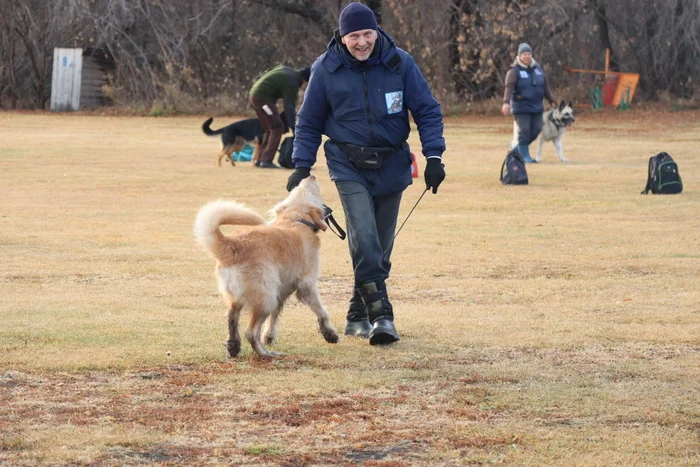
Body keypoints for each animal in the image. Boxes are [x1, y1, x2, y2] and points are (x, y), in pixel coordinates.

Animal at [193, 177, 338, 360]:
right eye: (310, 191)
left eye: (296, 188)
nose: (310, 177)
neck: (295, 219)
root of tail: (234, 246)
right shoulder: (307, 285)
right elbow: (322, 311)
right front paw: (330, 334)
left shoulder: (280, 290)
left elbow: (275, 315)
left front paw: (269, 336)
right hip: (265, 298)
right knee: (250, 332)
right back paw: (265, 354)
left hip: (247, 295)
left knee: (232, 317)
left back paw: (234, 345)